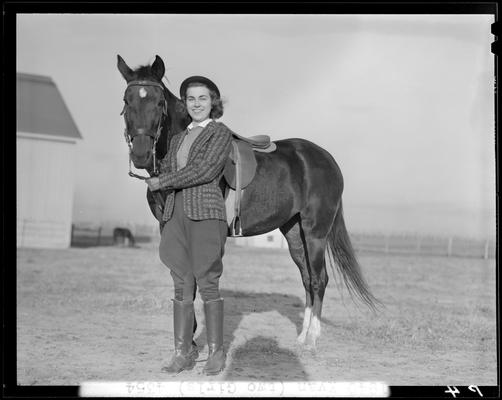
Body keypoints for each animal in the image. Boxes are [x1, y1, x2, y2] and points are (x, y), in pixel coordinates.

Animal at [115, 54, 378, 348]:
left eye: (159, 102)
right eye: (127, 100)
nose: (140, 154)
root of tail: (327, 159)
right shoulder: (168, 227)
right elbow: (182, 278)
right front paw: (188, 340)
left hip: (315, 232)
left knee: (319, 279)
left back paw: (312, 338)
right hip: (294, 232)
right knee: (307, 277)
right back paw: (301, 337)